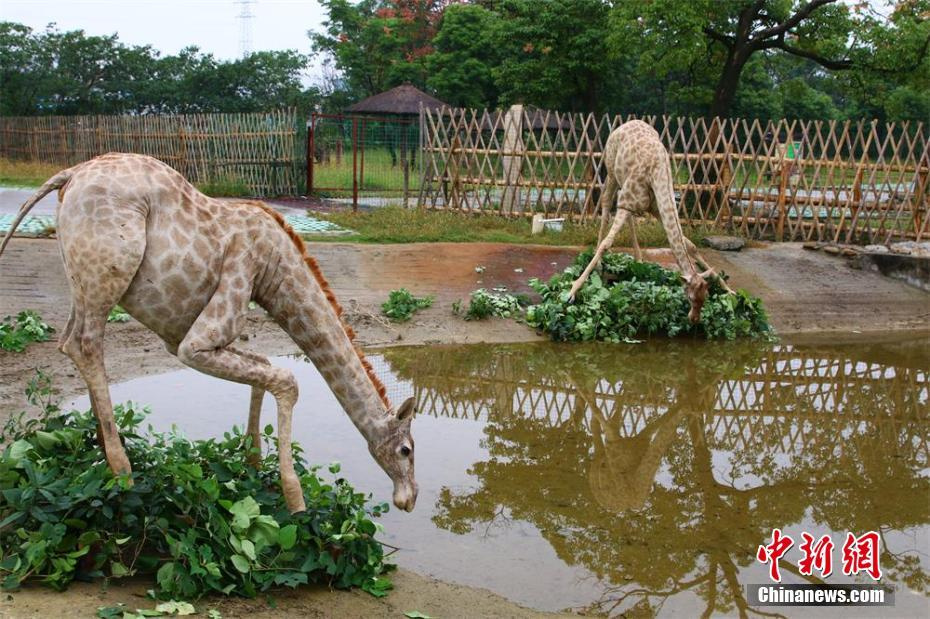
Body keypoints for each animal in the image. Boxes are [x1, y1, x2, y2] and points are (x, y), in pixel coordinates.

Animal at [0, 154, 416, 512]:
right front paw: (295, 501)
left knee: (70, 341)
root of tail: (68, 176)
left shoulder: (180, 338)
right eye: (406, 450)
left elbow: (265, 365)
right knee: (84, 344)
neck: (274, 272)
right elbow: (286, 378)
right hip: (109, 269)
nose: (408, 499)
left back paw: (99, 450)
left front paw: (251, 463)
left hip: (81, 279)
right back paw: (122, 471)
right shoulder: (197, 339)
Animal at [564, 121, 732, 324]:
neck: (659, 172)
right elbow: (606, 244)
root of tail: (623, 125)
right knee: (606, 202)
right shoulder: (629, 201)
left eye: (705, 297)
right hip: (611, 170)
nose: (694, 319)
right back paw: (599, 264)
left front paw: (730, 291)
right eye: (691, 297)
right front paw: (572, 291)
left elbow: (690, 245)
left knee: (627, 215)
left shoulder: (655, 207)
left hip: (627, 189)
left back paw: (639, 259)